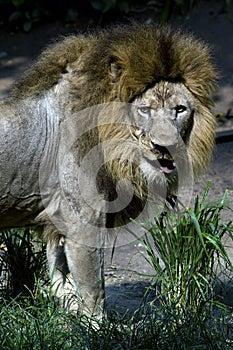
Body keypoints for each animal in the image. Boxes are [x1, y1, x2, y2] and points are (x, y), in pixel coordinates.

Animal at [0, 23, 217, 320]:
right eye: (145, 110)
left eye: (180, 109)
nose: (165, 146)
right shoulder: (83, 223)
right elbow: (94, 289)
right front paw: (102, 327)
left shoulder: (58, 220)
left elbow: (61, 276)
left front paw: (68, 312)